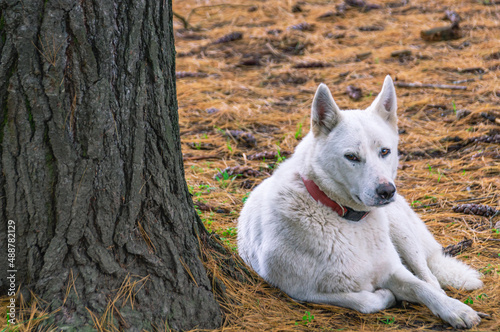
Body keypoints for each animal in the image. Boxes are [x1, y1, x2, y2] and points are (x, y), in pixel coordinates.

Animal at [238, 76, 484, 328]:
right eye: (352, 157)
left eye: (385, 151)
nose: (387, 191)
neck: (347, 218)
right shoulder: (304, 292)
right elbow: (366, 301)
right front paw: (387, 296)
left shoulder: (393, 270)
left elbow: (422, 287)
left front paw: (455, 309)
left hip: (402, 232)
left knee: (429, 276)